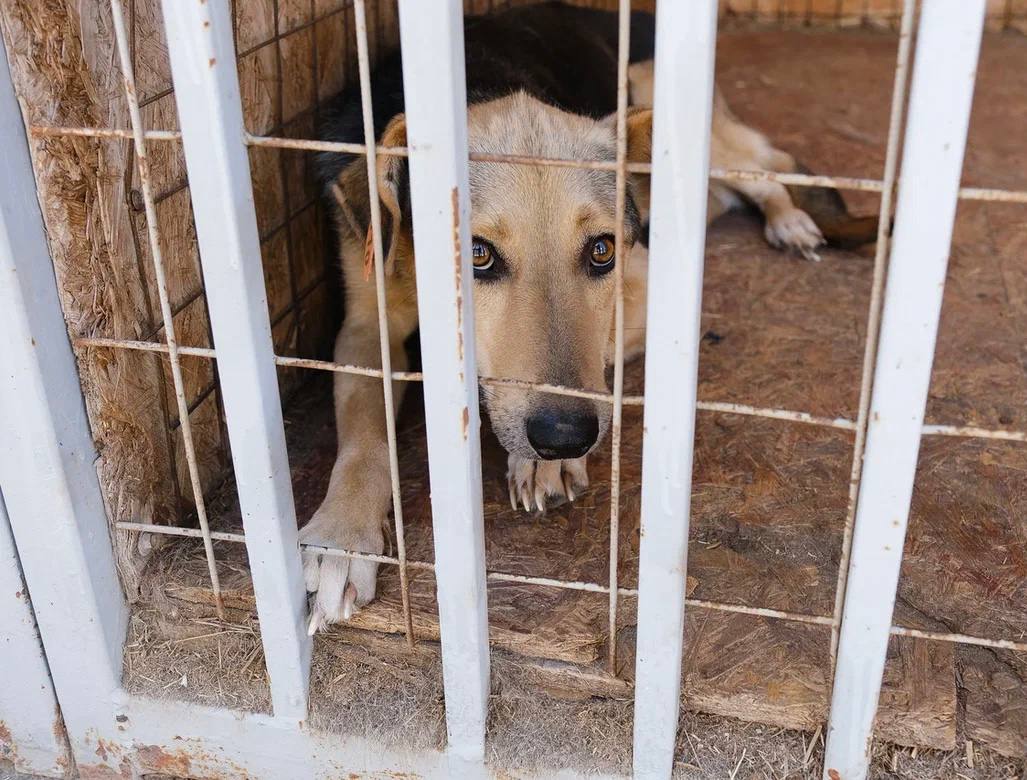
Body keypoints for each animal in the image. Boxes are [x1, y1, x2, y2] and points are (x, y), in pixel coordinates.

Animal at [299, 1, 875, 633]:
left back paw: (790, 221)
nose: (563, 438)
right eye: (476, 254)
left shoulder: (646, 294)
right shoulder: (363, 325)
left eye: (601, 250)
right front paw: (341, 535)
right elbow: (362, 434)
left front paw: (538, 466)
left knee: (767, 170)